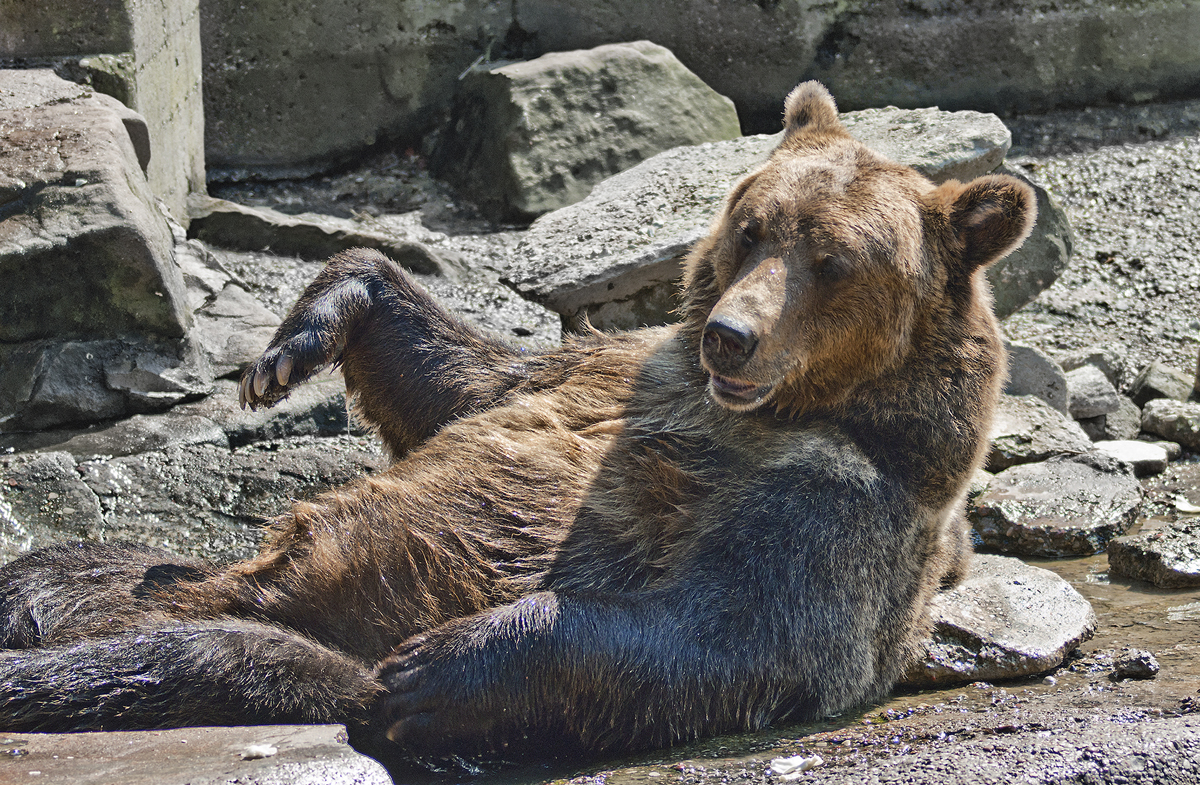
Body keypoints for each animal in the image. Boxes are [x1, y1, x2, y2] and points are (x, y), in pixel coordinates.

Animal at [0, 82, 1032, 768]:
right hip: (163, 575)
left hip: (293, 640)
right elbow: (467, 380)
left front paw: (443, 667)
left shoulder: (830, 499)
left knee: (181, 652)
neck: (795, 405)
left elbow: (729, 633)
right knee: (70, 565)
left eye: (834, 259)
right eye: (753, 227)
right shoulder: (619, 368)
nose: (730, 337)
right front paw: (297, 340)